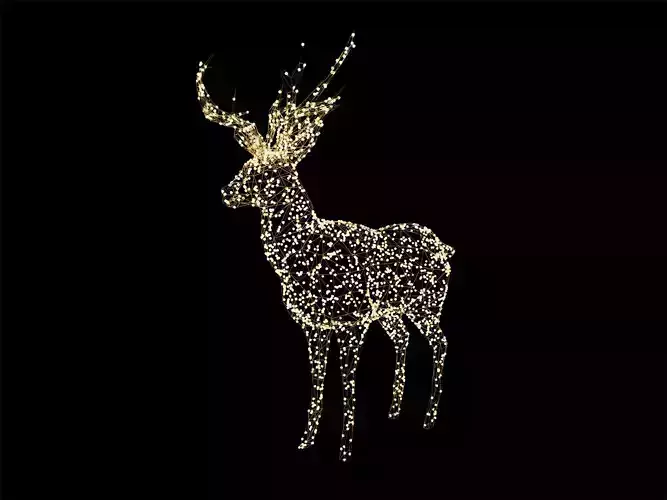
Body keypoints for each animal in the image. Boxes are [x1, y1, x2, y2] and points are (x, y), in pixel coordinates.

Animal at [199, 33, 455, 461]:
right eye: (246, 166)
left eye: (264, 171)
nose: (226, 192)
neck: (305, 253)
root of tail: (446, 250)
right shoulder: (315, 326)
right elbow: (317, 380)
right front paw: (305, 442)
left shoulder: (351, 322)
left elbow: (347, 382)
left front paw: (345, 450)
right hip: (390, 312)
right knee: (403, 339)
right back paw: (394, 412)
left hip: (426, 305)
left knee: (440, 342)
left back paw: (429, 418)